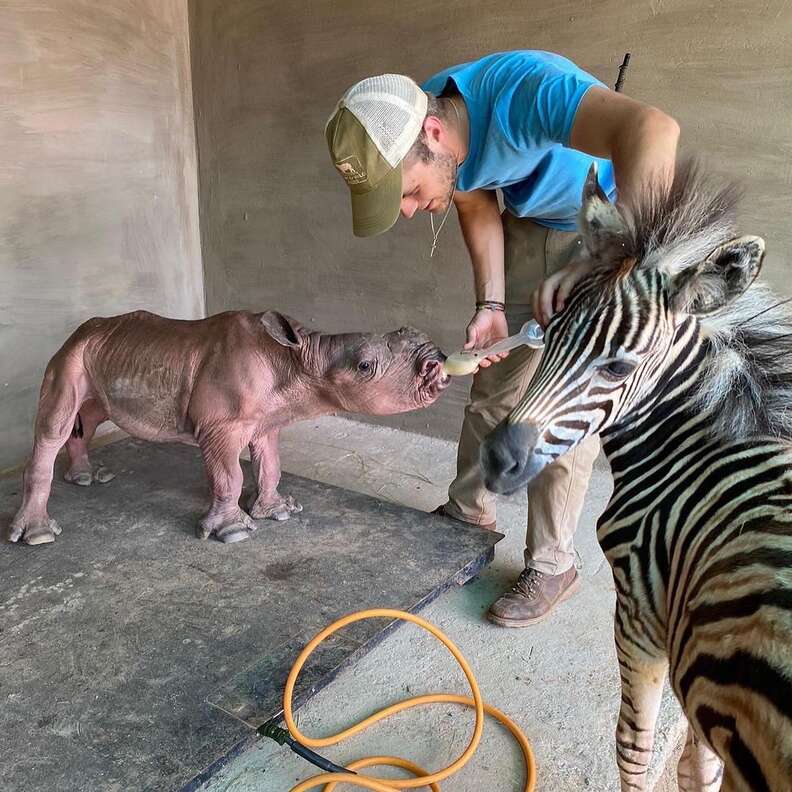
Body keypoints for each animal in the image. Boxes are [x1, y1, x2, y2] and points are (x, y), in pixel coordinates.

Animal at [9, 310, 448, 544]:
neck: (298, 358)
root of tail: (78, 332)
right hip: (70, 356)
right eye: (365, 366)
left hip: (97, 353)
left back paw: (88, 477)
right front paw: (234, 532)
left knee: (90, 415)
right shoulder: (220, 427)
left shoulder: (267, 420)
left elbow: (270, 464)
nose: (437, 360)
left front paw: (278, 511)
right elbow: (229, 475)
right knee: (55, 425)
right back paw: (40, 534)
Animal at [476, 162, 792, 792]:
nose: (497, 459)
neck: (690, 452)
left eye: (618, 366)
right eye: (547, 335)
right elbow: (698, 763)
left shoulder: (640, 617)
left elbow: (632, 746)